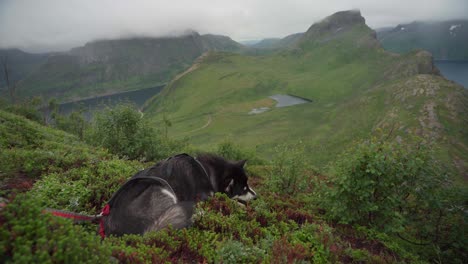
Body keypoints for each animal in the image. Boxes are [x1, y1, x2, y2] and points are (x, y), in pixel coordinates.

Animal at [100, 154, 258, 236]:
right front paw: (242, 207)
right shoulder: (205, 197)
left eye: (248, 184)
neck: (205, 171)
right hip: (163, 189)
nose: (257, 197)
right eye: (244, 189)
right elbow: (231, 202)